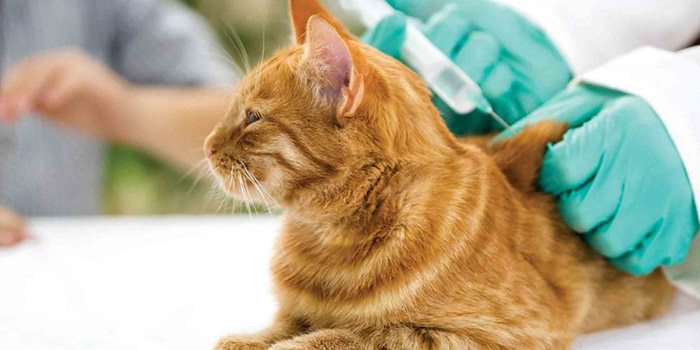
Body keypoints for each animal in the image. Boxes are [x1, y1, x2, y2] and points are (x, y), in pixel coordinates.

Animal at [206, 1, 672, 348]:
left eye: (252, 117)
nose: (208, 145)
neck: (329, 240)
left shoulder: (508, 332)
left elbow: (362, 335)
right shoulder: (296, 310)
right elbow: (279, 327)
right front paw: (249, 339)